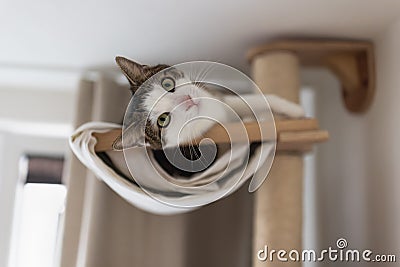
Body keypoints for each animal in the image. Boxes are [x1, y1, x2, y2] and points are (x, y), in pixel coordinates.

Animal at [112, 56, 304, 153]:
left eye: (167, 84)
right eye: (163, 119)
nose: (187, 99)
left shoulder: (216, 96)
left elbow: (253, 100)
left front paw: (293, 109)